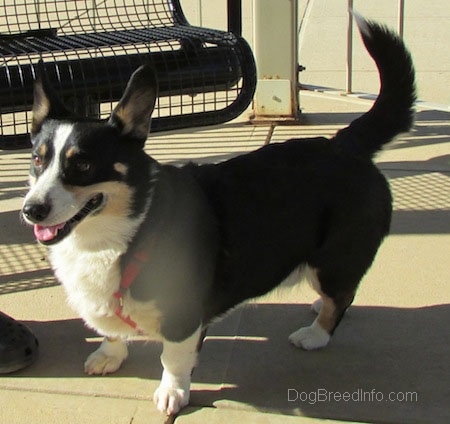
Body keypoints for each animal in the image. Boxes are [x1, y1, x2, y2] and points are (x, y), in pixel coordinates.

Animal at [21, 14, 414, 418]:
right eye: (37, 159)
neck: (125, 229)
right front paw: (109, 356)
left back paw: (315, 334)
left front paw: (172, 394)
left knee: (341, 298)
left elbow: (173, 360)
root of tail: (344, 143)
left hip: (334, 257)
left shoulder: (183, 319)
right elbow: (111, 331)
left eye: (82, 165)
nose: (32, 210)